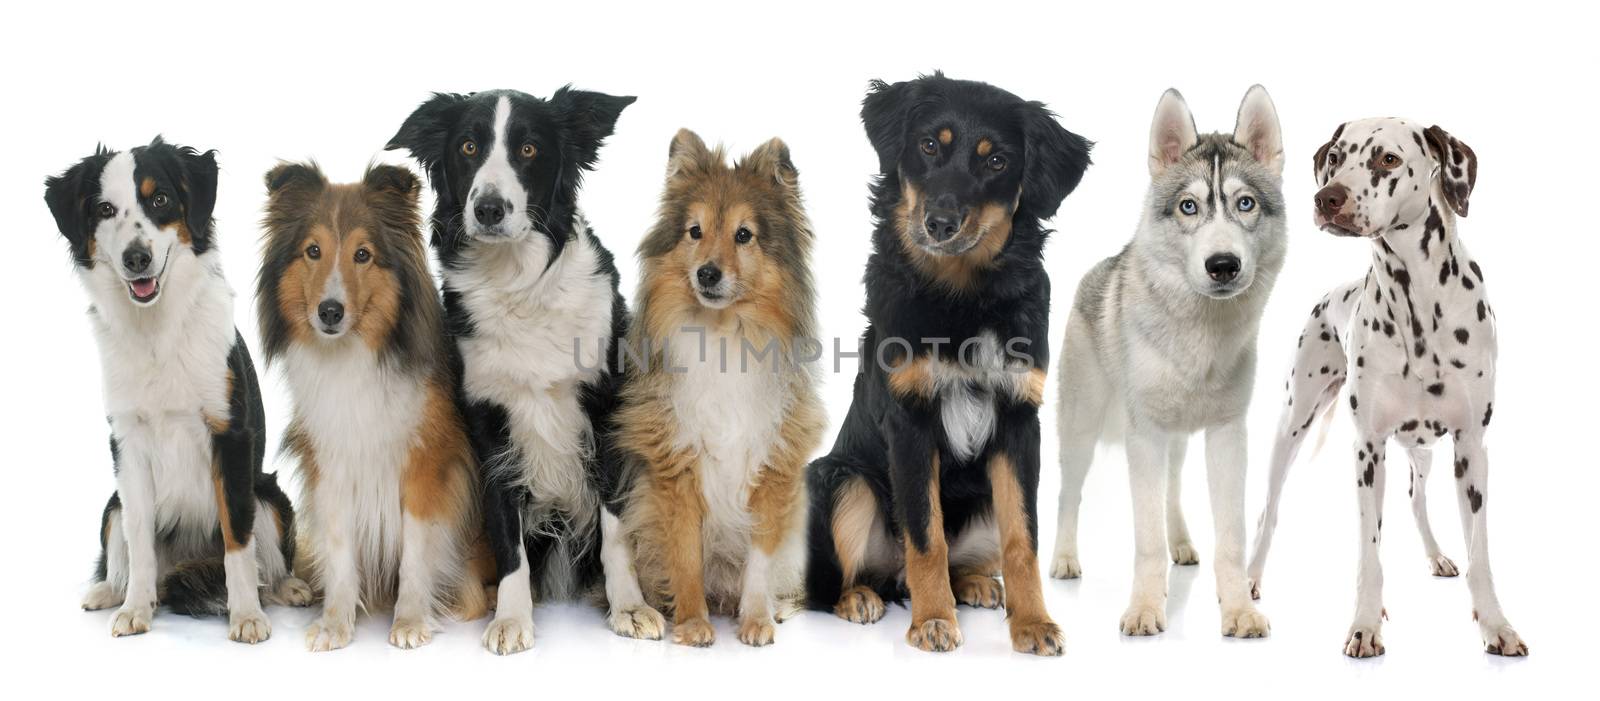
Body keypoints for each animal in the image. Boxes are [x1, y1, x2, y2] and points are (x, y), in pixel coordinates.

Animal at [1049, 84, 1286, 636]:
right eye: (1188, 206)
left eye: (1245, 203)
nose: (1223, 265)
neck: (1200, 338)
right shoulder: (1144, 436)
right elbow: (1146, 541)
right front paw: (1144, 609)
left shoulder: (1227, 434)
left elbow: (1231, 539)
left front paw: (1238, 609)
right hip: (1081, 432)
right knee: (1069, 495)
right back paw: (1065, 559)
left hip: (1176, 441)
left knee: (1173, 490)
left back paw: (1182, 544)